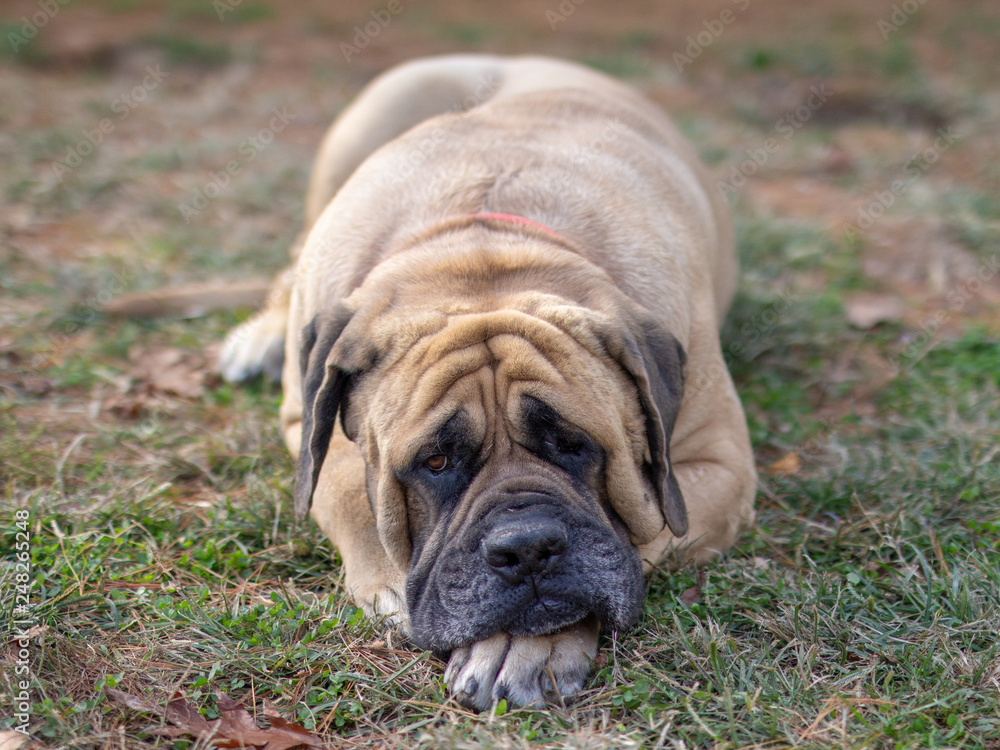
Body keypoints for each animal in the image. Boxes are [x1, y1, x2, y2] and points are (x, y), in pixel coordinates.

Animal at [217, 54, 752, 712]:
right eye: (435, 462)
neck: (483, 245)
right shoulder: (307, 421)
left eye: (574, 444)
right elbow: (344, 488)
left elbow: (641, 529)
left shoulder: (719, 465)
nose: (526, 549)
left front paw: (522, 647)